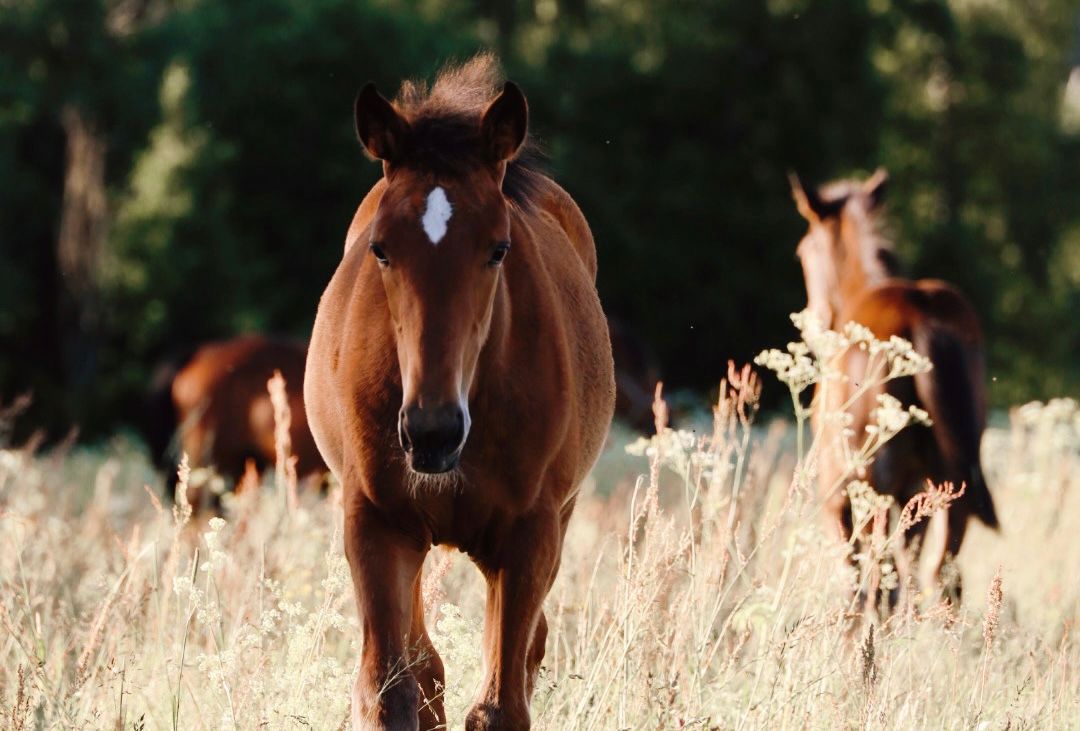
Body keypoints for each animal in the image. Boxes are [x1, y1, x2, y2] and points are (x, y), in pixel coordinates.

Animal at [304, 55, 615, 730]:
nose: (432, 431)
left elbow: (500, 706)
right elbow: (391, 690)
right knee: (425, 669)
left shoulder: (528, 539)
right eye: (381, 249)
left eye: (498, 249)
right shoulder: (376, 525)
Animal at [789, 169, 998, 603]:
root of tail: (920, 314)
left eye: (803, 252)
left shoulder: (837, 496)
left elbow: (858, 582)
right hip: (949, 486)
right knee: (942, 577)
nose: (815, 317)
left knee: (881, 583)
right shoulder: (913, 493)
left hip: (873, 485)